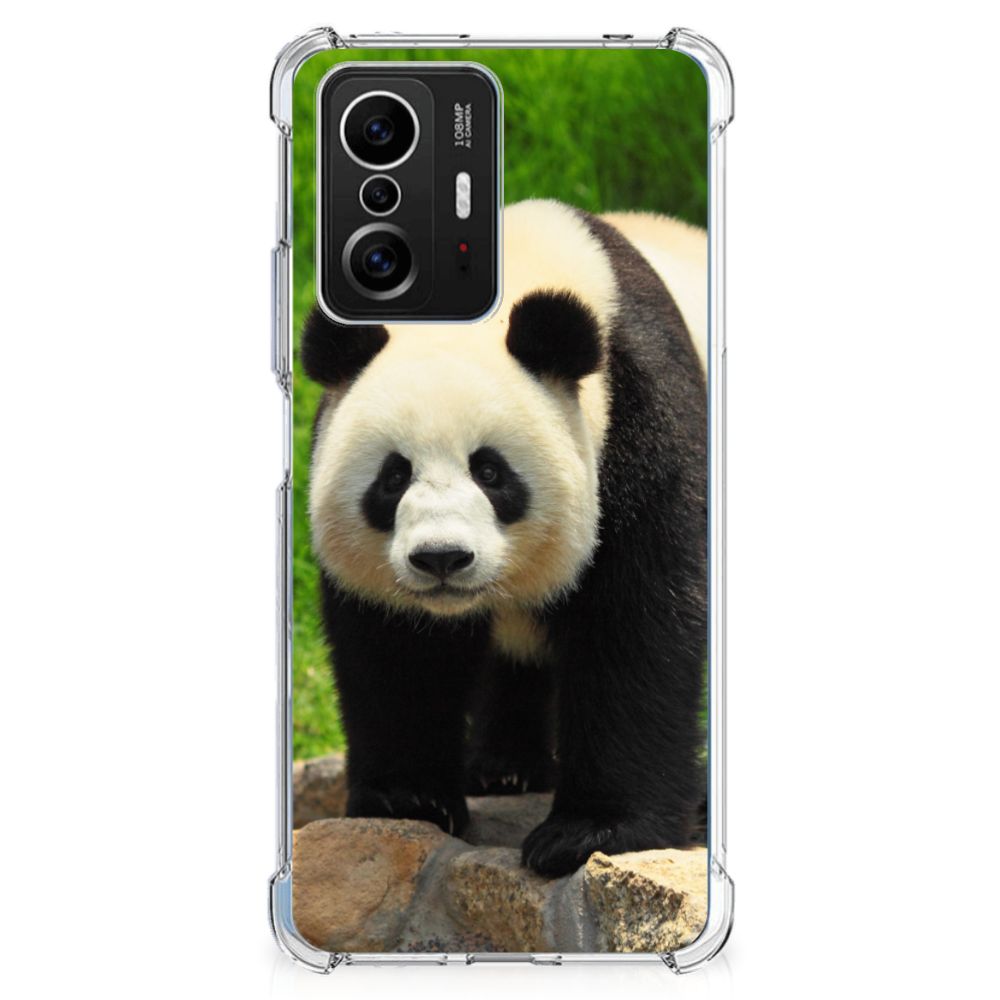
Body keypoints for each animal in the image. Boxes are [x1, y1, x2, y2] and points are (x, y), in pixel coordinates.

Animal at [302, 199, 707, 877]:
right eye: (393, 476)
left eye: (490, 472)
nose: (441, 558)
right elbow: (396, 650)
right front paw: (408, 799)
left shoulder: (643, 424)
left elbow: (638, 625)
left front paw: (589, 832)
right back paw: (504, 769)